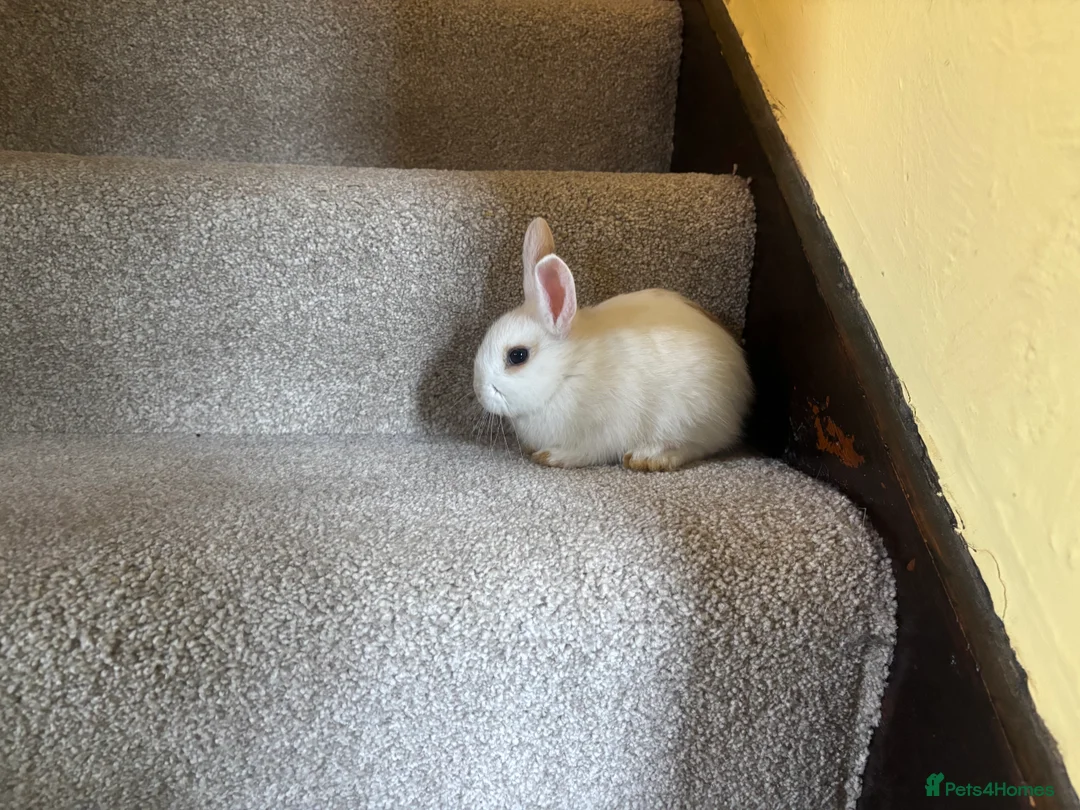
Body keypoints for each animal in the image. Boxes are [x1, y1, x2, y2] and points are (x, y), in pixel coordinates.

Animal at [472, 217, 753, 471]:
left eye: (517, 356)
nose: (479, 392)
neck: (567, 372)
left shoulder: (601, 433)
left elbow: (586, 453)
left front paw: (552, 456)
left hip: (687, 417)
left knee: (695, 446)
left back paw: (649, 457)